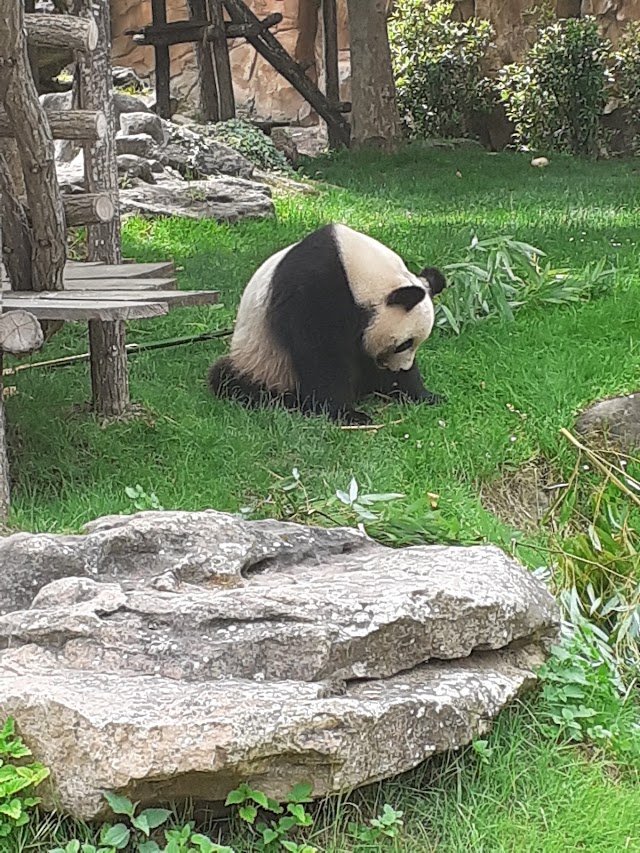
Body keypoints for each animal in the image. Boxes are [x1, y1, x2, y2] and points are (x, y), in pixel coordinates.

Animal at [208, 221, 448, 424]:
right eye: (404, 344)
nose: (400, 367)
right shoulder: (314, 290)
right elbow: (322, 354)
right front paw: (349, 415)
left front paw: (423, 395)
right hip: (263, 363)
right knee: (231, 380)